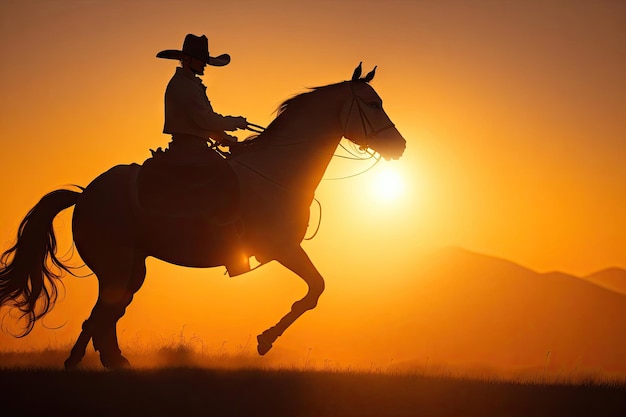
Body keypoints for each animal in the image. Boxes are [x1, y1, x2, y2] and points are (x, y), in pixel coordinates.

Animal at [0, 63, 404, 368]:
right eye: (372, 103)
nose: (398, 146)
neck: (277, 172)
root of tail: (85, 194)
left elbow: (314, 291)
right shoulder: (282, 248)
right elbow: (315, 290)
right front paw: (265, 340)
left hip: (131, 268)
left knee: (104, 314)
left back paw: (95, 361)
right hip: (117, 265)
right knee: (104, 313)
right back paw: (103, 362)